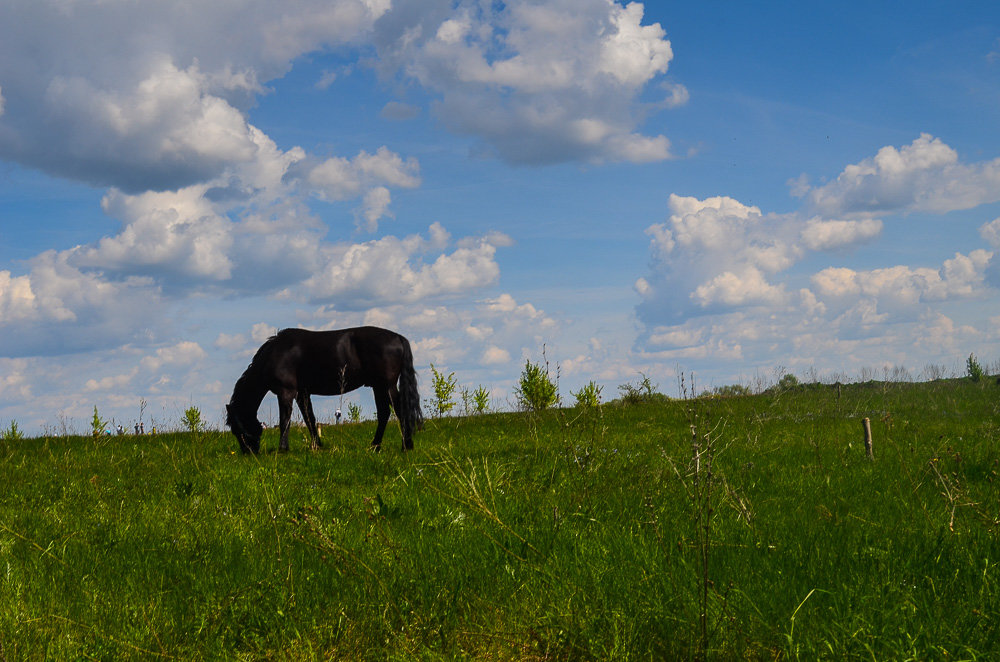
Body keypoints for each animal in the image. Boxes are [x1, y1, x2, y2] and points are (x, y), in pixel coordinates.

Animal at [226, 328, 422, 456]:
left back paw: (406, 446)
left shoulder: (286, 392)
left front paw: (283, 449)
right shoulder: (303, 393)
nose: (249, 452)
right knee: (384, 414)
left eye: (237, 429)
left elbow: (285, 421)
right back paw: (376, 446)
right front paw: (317, 446)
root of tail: (398, 338)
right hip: (378, 387)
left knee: (399, 412)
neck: (276, 353)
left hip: (386, 386)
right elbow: (310, 419)